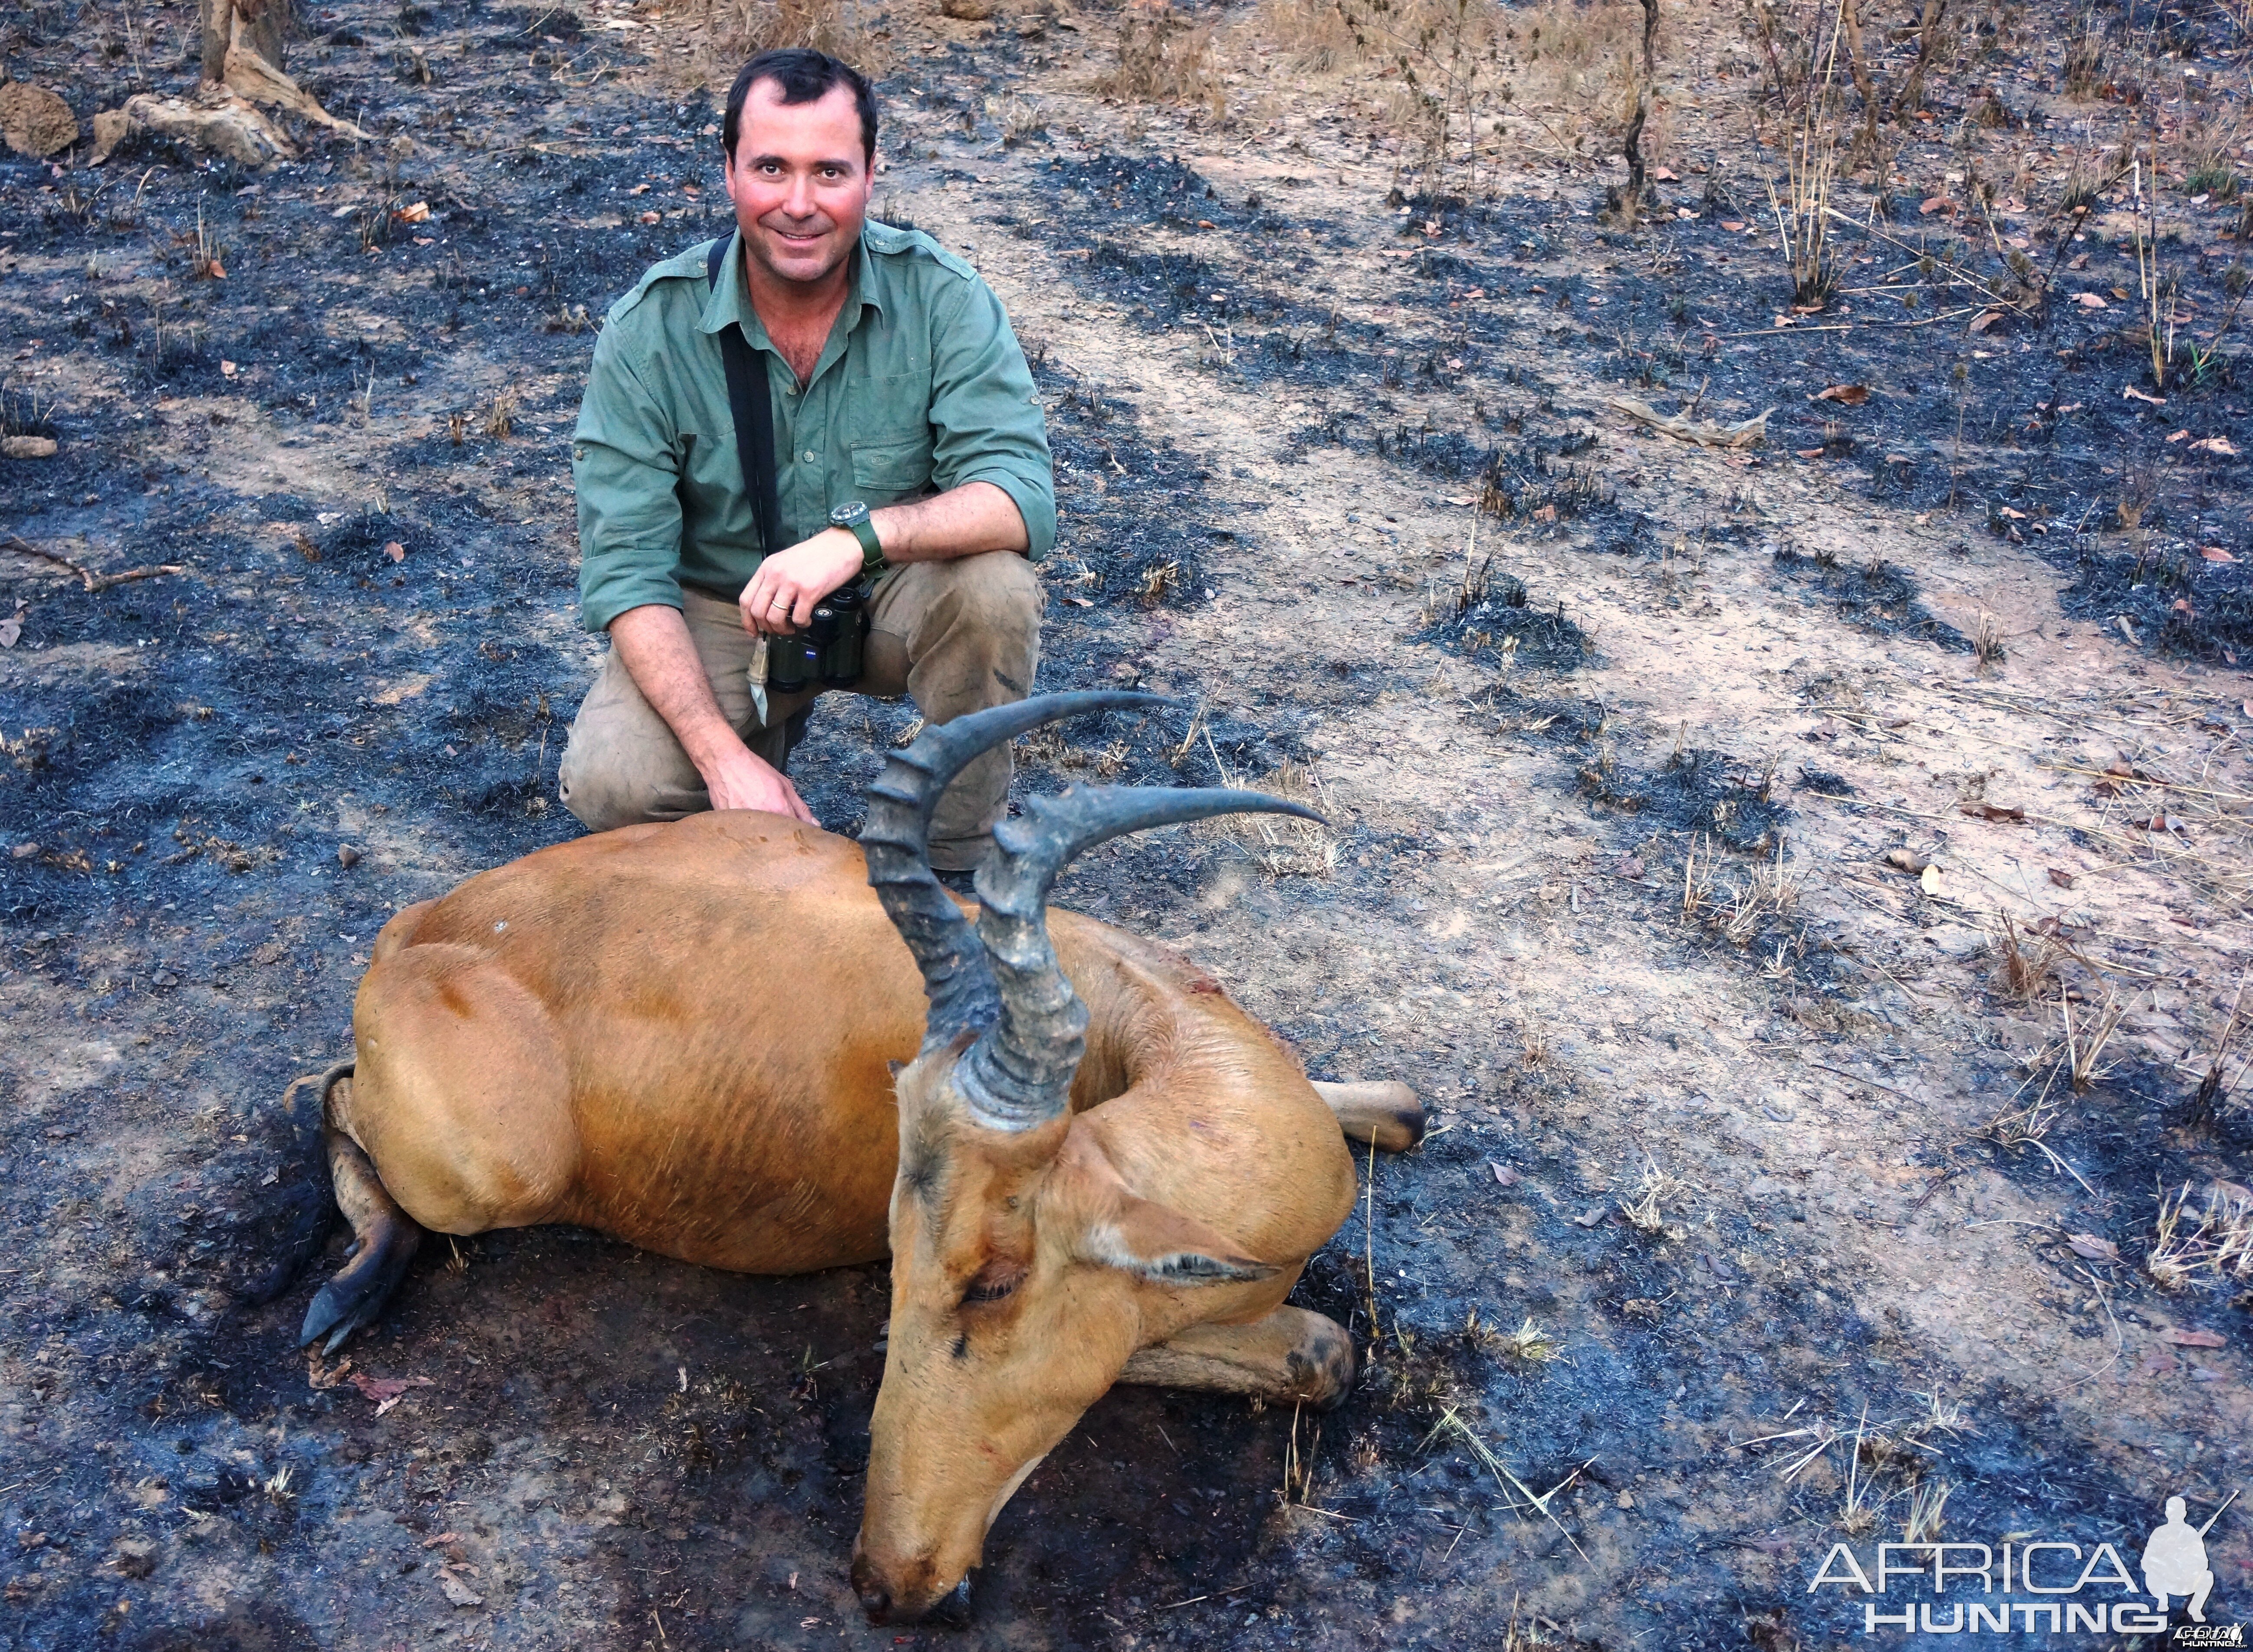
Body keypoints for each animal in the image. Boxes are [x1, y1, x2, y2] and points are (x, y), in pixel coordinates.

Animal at [304, 685, 1424, 1622]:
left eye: (994, 1281)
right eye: (898, 1260)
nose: (891, 1583)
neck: (1130, 1018)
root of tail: (420, 926)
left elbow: (1407, 1110)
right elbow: (1324, 1348)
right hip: (493, 1171)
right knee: (327, 1092)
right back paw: (345, 1294)